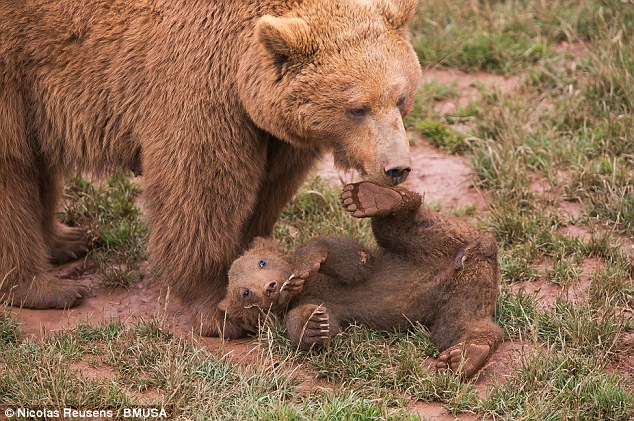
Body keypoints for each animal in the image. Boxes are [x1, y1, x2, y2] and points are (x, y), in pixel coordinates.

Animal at [2, 0, 422, 334]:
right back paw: (47, 288)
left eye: (400, 98)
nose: (397, 168)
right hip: (18, 63)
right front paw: (222, 309)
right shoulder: (199, 81)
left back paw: (67, 240)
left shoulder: (274, 132)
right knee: (14, 170)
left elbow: (267, 188)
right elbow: (200, 192)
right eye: (357, 108)